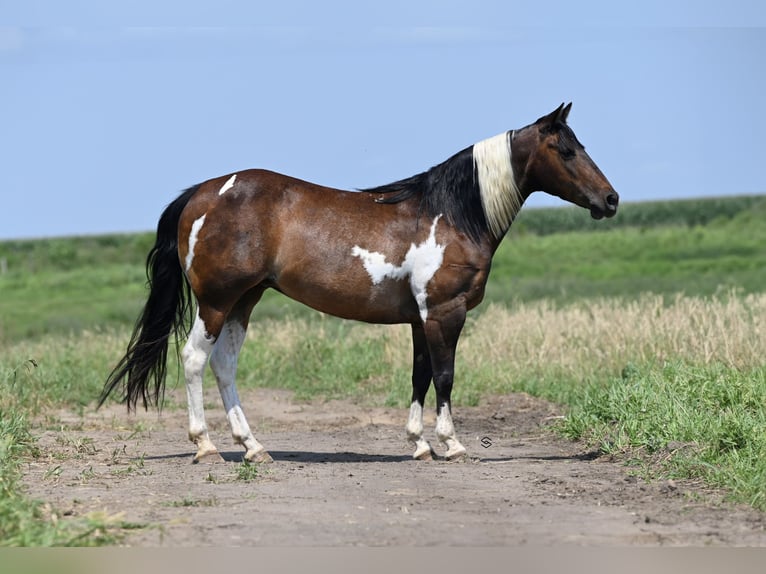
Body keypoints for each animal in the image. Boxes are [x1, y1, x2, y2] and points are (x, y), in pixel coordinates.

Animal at [100, 102, 616, 464]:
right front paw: (451, 444)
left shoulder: (419, 319)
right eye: (567, 150)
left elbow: (420, 375)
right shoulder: (444, 312)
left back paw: (253, 447)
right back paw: (206, 447)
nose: (610, 199)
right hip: (216, 300)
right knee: (194, 360)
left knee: (225, 365)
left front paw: (420, 445)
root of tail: (201, 193)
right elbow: (445, 376)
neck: (451, 214)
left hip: (244, 300)